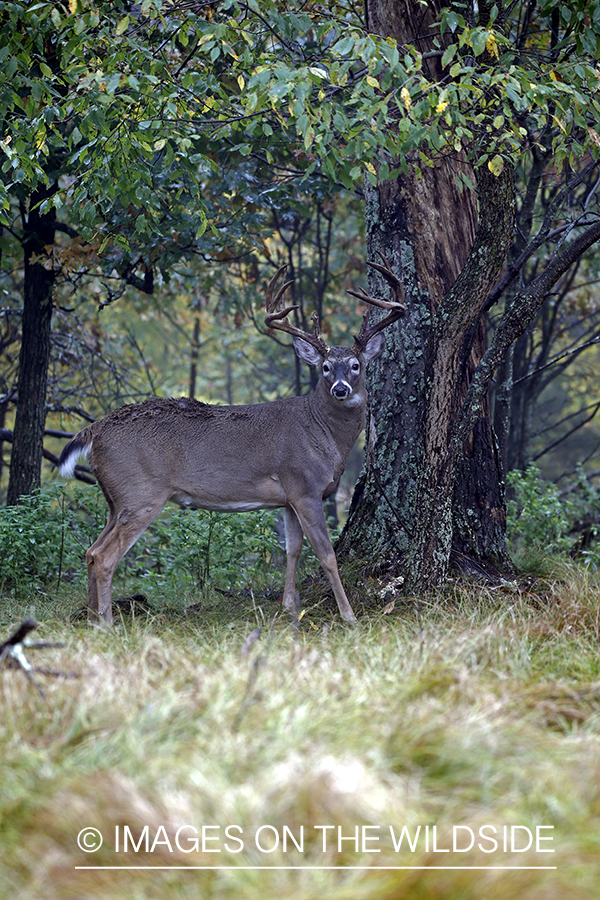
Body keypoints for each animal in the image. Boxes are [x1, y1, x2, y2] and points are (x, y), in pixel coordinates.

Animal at [58, 255, 406, 624]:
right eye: (325, 367)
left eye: (355, 365)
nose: (341, 389)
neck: (322, 433)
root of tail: (96, 429)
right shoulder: (305, 486)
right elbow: (326, 555)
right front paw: (348, 616)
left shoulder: (288, 497)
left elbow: (293, 550)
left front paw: (289, 608)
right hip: (141, 492)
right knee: (106, 556)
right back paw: (107, 622)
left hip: (116, 498)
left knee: (90, 550)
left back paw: (91, 617)